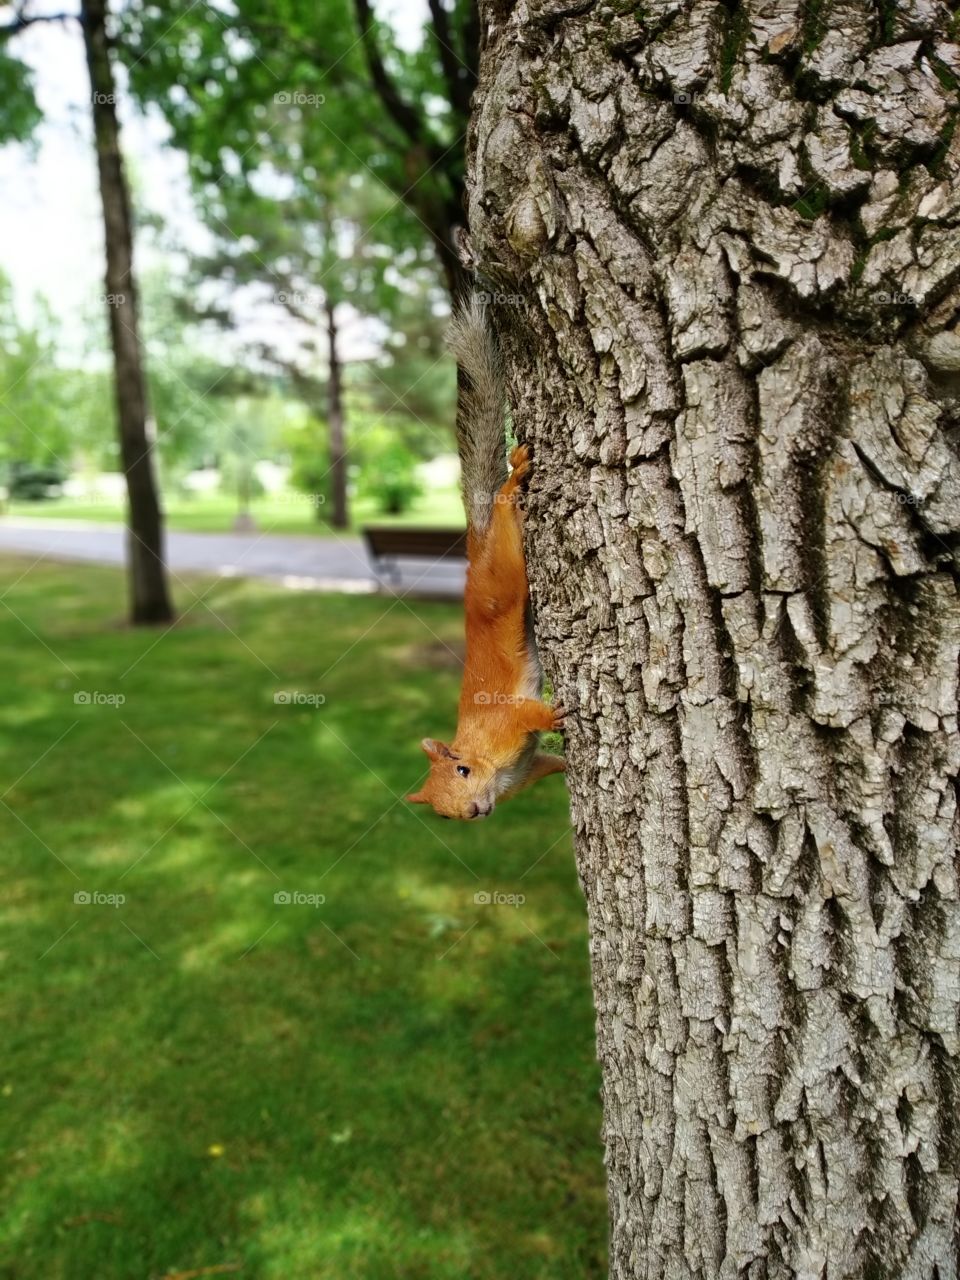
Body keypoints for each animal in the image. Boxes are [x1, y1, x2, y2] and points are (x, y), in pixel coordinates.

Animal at [406, 295, 566, 821]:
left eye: (461, 770)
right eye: (440, 813)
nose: (474, 812)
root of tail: (475, 550)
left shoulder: (505, 720)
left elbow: (527, 712)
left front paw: (555, 712)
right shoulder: (526, 774)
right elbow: (550, 764)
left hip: (505, 572)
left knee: (503, 509)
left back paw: (514, 480)